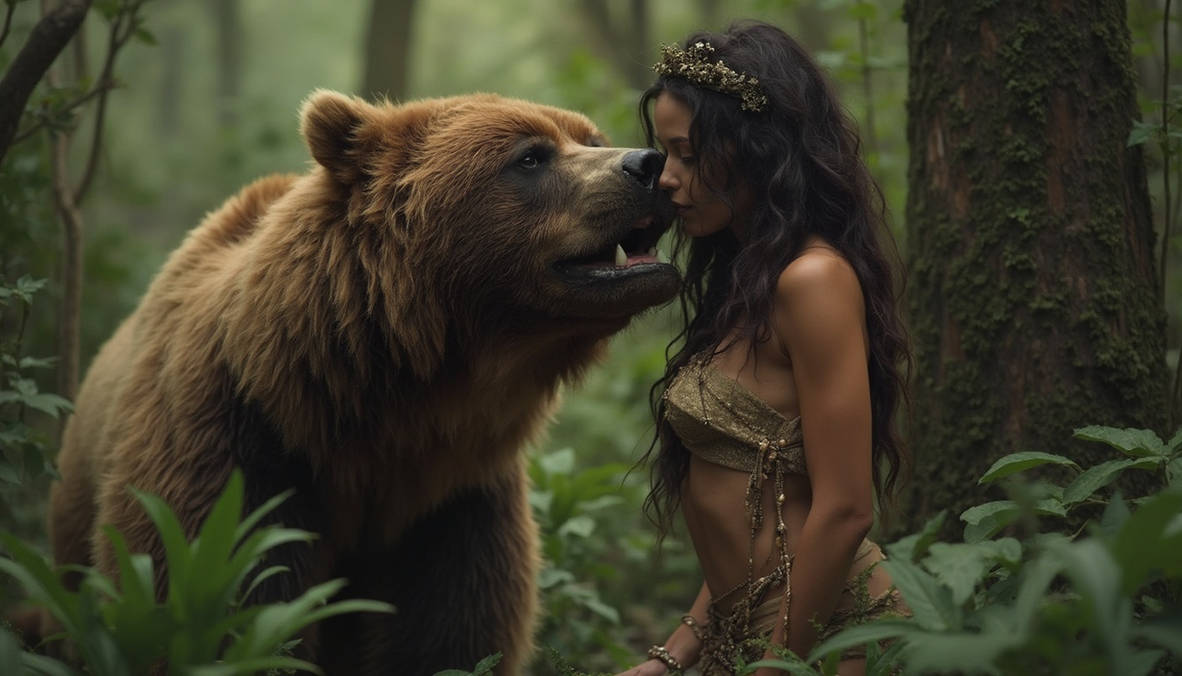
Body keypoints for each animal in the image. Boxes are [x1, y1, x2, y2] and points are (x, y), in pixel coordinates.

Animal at [46, 90, 678, 674]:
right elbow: (224, 601)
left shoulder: (455, 500)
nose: (649, 163)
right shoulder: (236, 448)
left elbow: (454, 632)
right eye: (530, 156)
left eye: (591, 138)